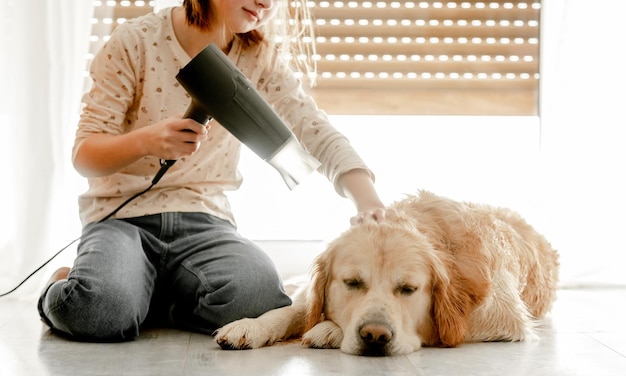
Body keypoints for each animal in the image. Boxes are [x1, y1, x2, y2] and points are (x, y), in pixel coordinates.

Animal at [214, 191, 556, 356]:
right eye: (352, 283)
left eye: (408, 289)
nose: (375, 336)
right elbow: (295, 309)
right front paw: (250, 326)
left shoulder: (502, 314)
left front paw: (328, 330)